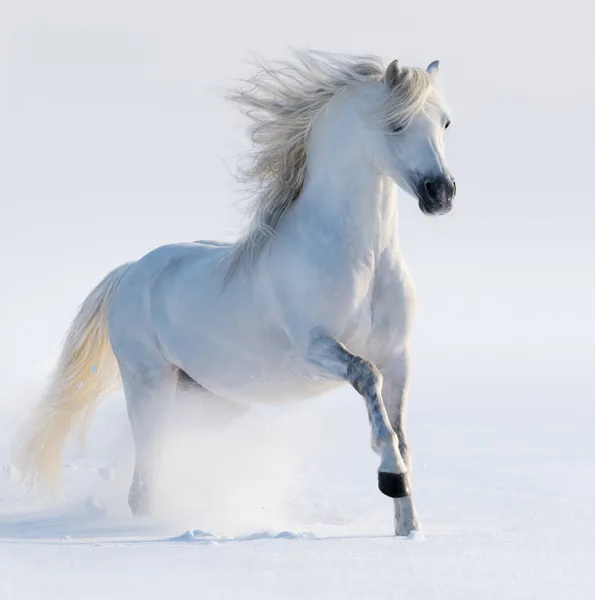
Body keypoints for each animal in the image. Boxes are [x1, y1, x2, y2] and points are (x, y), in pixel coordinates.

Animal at [15, 51, 456, 536]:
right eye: (396, 124)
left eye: (445, 122)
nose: (441, 192)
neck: (365, 261)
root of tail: (132, 271)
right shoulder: (315, 349)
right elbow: (367, 379)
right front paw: (390, 478)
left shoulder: (399, 357)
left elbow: (400, 431)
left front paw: (408, 526)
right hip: (149, 384)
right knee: (144, 480)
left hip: (212, 398)